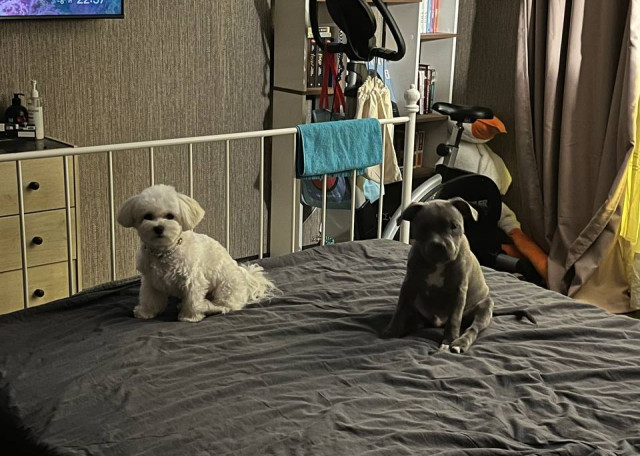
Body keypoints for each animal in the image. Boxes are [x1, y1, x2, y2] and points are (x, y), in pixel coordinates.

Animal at [117, 184, 275, 323]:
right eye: (148, 216)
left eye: (170, 216)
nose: (159, 228)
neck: (165, 251)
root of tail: (248, 281)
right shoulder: (150, 280)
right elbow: (149, 298)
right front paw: (145, 312)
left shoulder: (193, 279)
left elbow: (193, 299)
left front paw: (190, 316)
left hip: (225, 287)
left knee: (227, 306)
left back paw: (208, 307)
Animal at [382, 198, 535, 353]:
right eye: (423, 227)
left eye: (454, 226)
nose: (439, 246)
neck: (438, 264)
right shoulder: (410, 284)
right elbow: (400, 310)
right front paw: (391, 331)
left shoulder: (458, 290)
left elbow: (454, 319)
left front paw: (449, 341)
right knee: (415, 320)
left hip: (485, 307)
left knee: (473, 328)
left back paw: (460, 343)